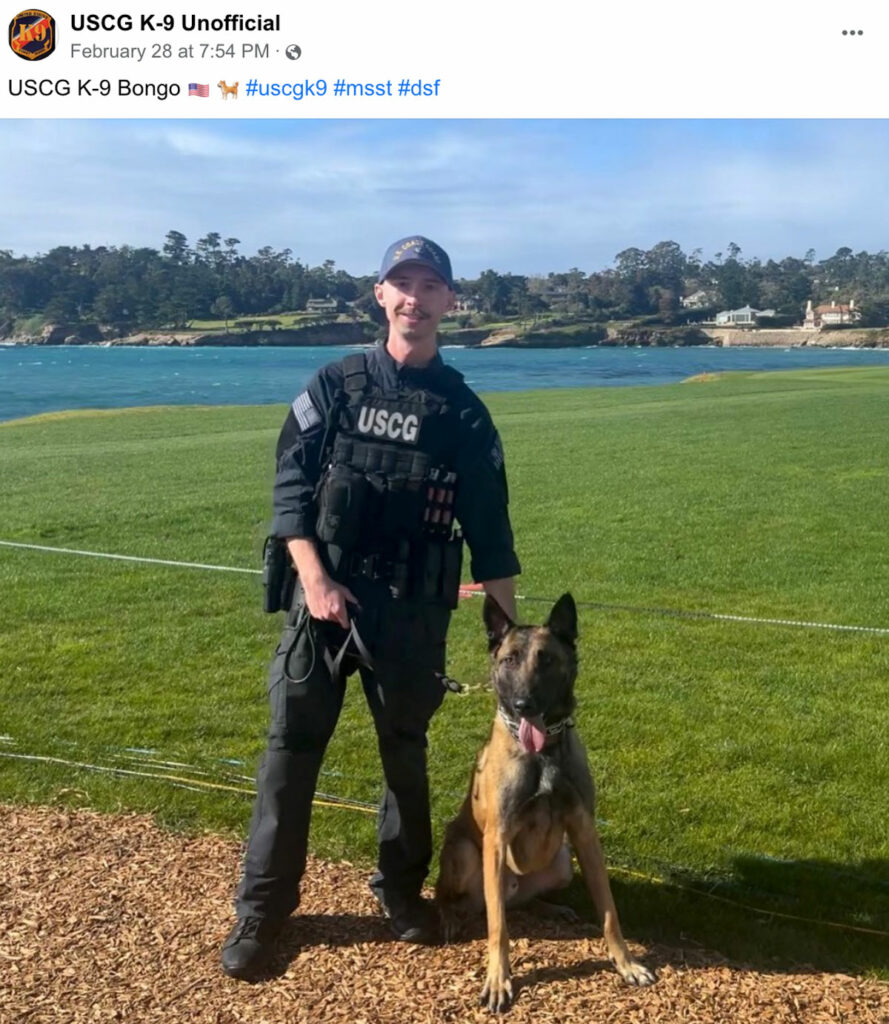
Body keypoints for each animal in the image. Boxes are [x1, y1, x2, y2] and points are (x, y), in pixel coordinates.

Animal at [434, 593, 655, 1007]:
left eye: (547, 660)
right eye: (509, 660)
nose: (525, 704)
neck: (544, 752)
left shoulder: (584, 832)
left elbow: (608, 911)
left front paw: (626, 963)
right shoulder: (497, 837)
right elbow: (499, 928)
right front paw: (498, 979)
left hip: (563, 861)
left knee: (518, 903)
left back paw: (550, 908)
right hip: (466, 853)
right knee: (460, 898)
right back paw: (450, 916)